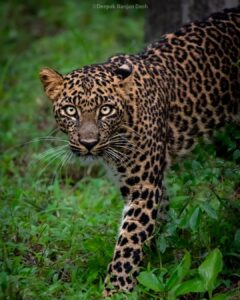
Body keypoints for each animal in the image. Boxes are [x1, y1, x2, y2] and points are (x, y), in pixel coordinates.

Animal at [39, 7, 240, 298]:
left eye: (105, 110)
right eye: (70, 110)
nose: (88, 143)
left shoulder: (143, 187)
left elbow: (129, 241)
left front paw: (116, 290)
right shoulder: (151, 183)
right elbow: (155, 222)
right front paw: (155, 261)